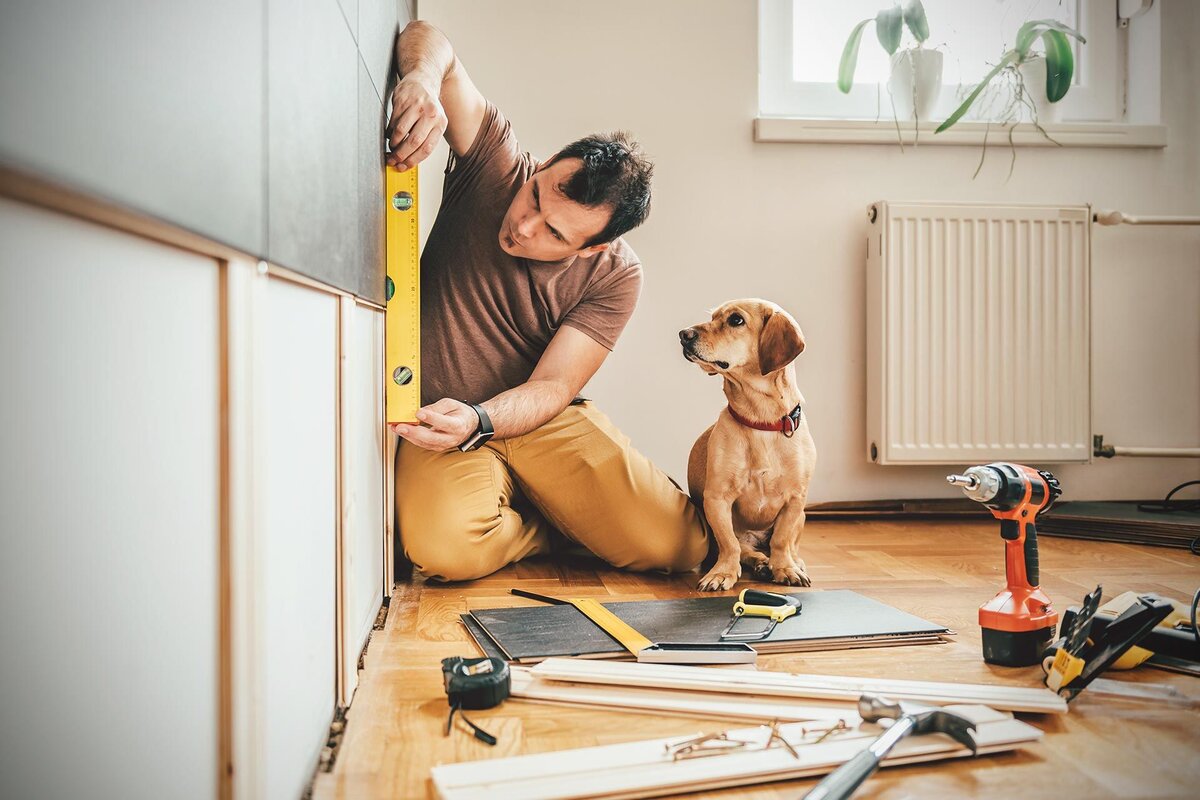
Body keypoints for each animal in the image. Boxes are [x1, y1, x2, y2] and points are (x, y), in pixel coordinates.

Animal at [681, 297, 820, 592]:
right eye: (713, 317)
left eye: (736, 320)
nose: (683, 334)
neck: (761, 421)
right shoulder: (717, 499)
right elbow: (730, 544)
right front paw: (722, 573)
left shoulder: (795, 500)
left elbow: (781, 539)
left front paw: (785, 568)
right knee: (746, 550)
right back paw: (760, 563)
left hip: (802, 516)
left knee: (788, 545)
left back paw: (789, 563)